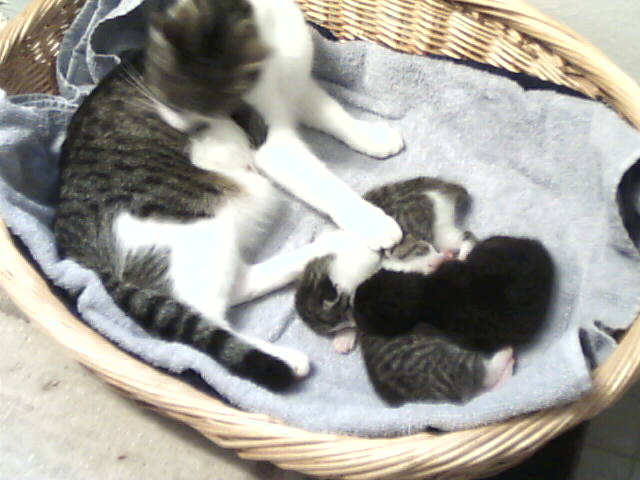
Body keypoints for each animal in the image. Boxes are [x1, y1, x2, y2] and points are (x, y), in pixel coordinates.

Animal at [54, 0, 405, 391]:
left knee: (239, 285)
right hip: (197, 223)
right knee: (205, 310)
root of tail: (74, 247)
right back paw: (284, 358)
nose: (188, 129)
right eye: (175, 104)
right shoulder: (269, 142)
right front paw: (370, 219)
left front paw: (371, 137)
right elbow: (323, 183)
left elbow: (334, 114)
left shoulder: (301, 88)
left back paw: (332, 246)